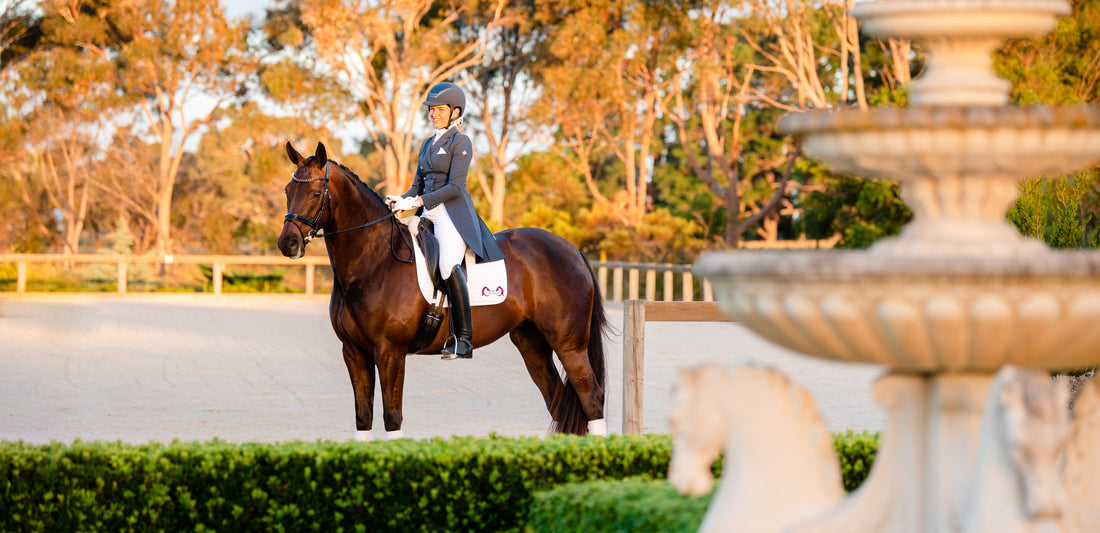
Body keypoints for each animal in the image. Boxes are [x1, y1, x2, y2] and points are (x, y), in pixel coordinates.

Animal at [277, 141, 609, 440]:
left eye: (316, 193)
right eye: (287, 191)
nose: (287, 244)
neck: (374, 261)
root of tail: (570, 248)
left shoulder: (390, 351)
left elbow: (392, 417)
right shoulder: (354, 352)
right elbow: (363, 417)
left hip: (569, 345)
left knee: (591, 397)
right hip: (531, 343)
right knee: (557, 400)